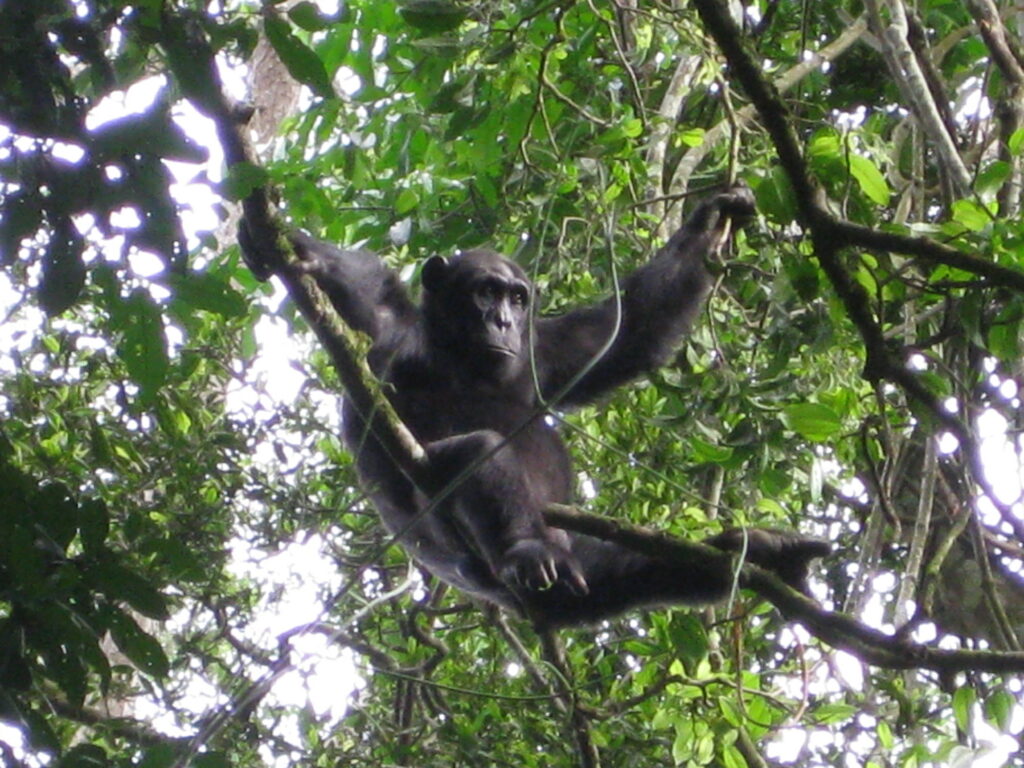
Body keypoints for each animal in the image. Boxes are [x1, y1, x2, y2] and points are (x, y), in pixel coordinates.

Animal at [241, 188, 831, 630]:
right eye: (485, 292)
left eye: (518, 298)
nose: (503, 320)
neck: (457, 354)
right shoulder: (386, 330)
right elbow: (359, 302)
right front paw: (292, 248)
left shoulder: (544, 351)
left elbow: (626, 332)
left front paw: (711, 220)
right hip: (478, 558)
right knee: (473, 457)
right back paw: (529, 549)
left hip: (588, 577)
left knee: (638, 571)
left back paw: (759, 552)